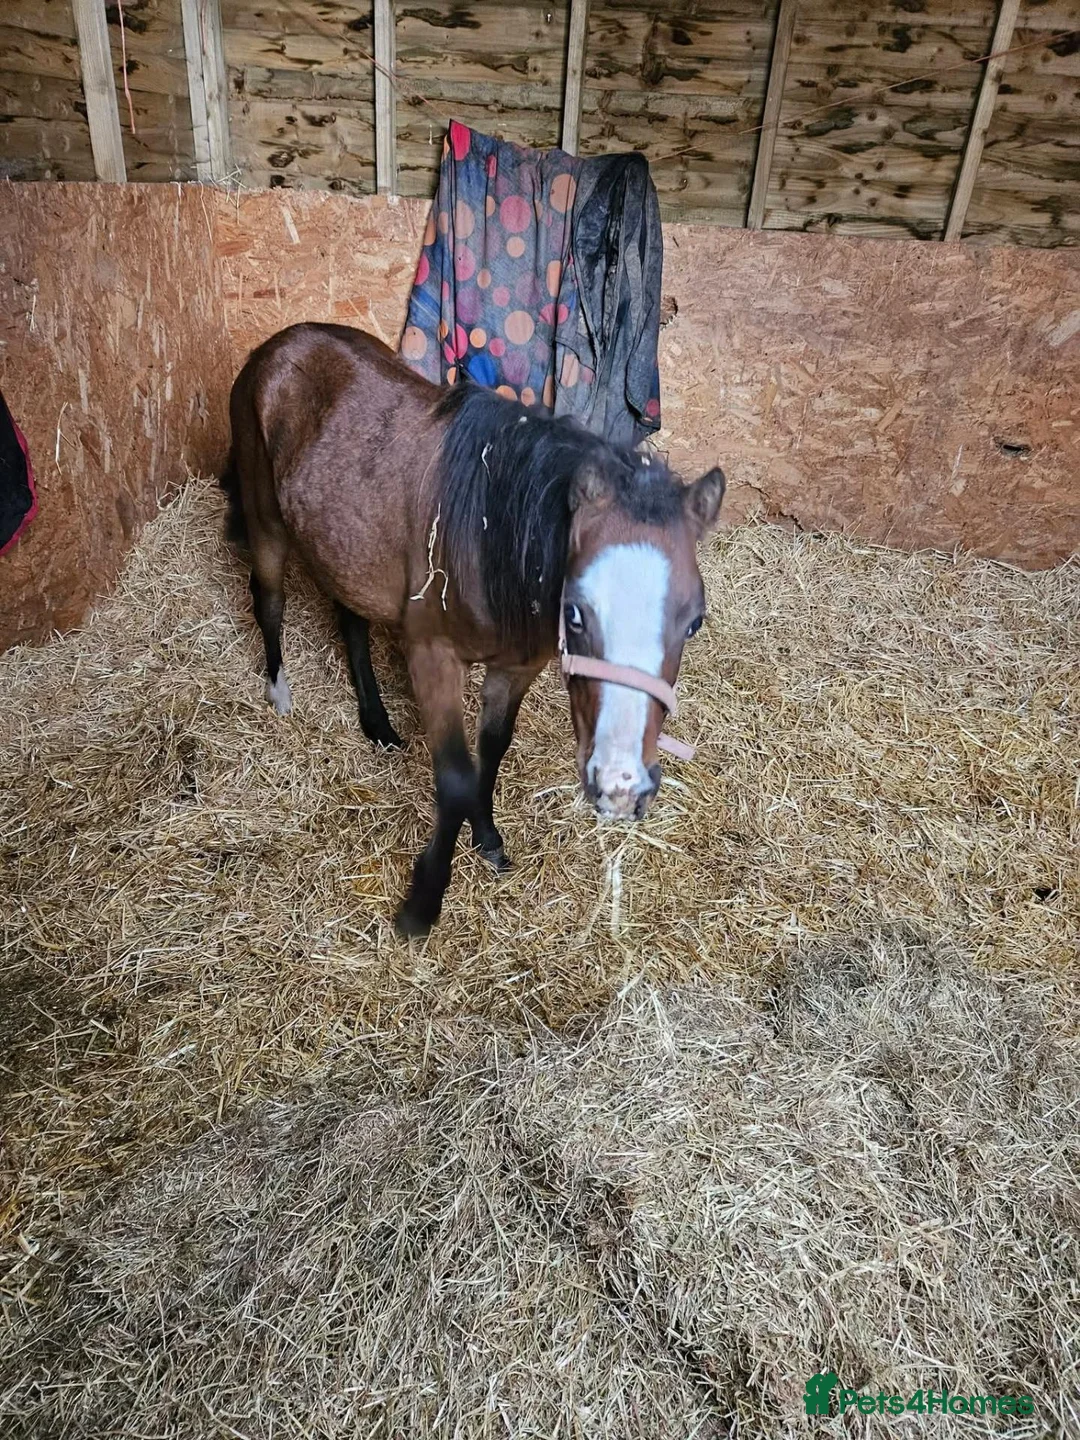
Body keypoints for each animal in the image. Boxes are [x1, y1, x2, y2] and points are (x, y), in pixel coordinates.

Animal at [220, 322, 725, 937]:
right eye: (576, 612)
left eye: (693, 622)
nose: (620, 784)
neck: (489, 534)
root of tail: (276, 345)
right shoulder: (431, 655)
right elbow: (457, 778)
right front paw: (422, 904)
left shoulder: (516, 667)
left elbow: (493, 751)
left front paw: (488, 841)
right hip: (266, 518)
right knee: (268, 599)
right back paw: (279, 691)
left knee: (350, 618)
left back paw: (377, 724)